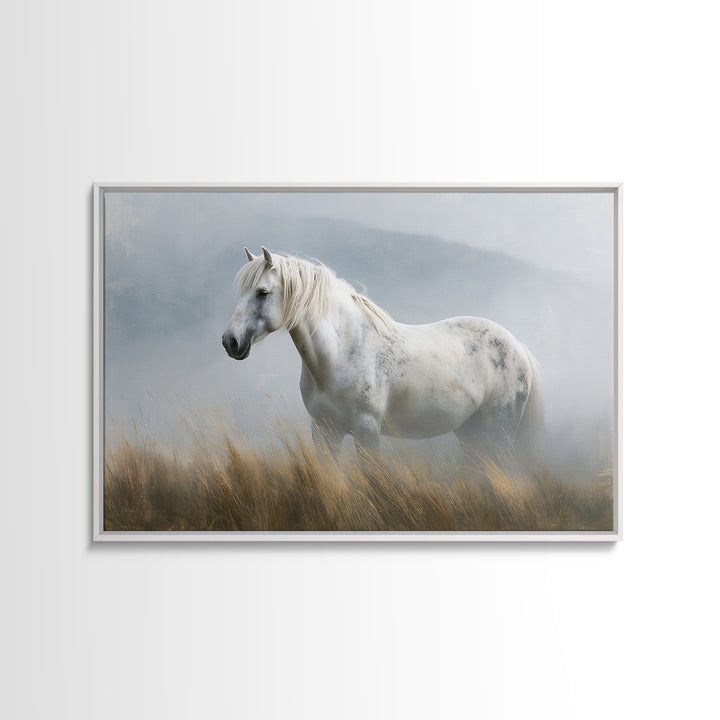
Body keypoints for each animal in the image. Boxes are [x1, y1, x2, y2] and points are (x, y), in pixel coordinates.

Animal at [222, 247, 544, 464]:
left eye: (263, 292)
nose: (230, 341)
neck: (341, 354)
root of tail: (518, 346)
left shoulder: (367, 431)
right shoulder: (324, 431)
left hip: (497, 434)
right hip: (471, 434)